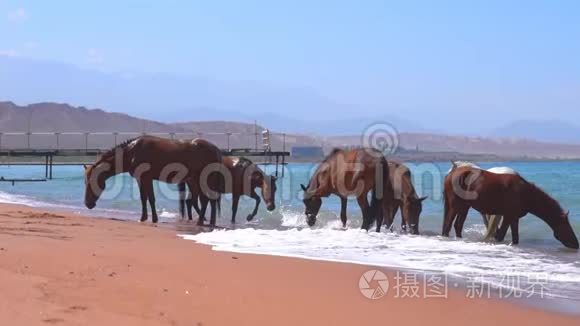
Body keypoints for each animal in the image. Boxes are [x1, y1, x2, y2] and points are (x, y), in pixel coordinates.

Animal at [84, 135, 222, 224]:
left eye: (91, 182)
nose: (87, 204)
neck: (131, 152)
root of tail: (216, 149)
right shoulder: (142, 179)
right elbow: (146, 198)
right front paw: (147, 218)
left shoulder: (145, 178)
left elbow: (149, 198)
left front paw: (149, 218)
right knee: (209, 200)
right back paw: (210, 222)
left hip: (202, 179)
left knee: (205, 199)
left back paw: (201, 221)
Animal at [444, 167, 576, 248]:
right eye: (566, 226)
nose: (576, 244)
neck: (525, 193)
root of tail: (451, 174)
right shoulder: (508, 217)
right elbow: (501, 236)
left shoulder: (514, 218)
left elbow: (515, 238)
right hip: (456, 206)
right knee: (449, 225)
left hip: (464, 207)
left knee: (457, 226)